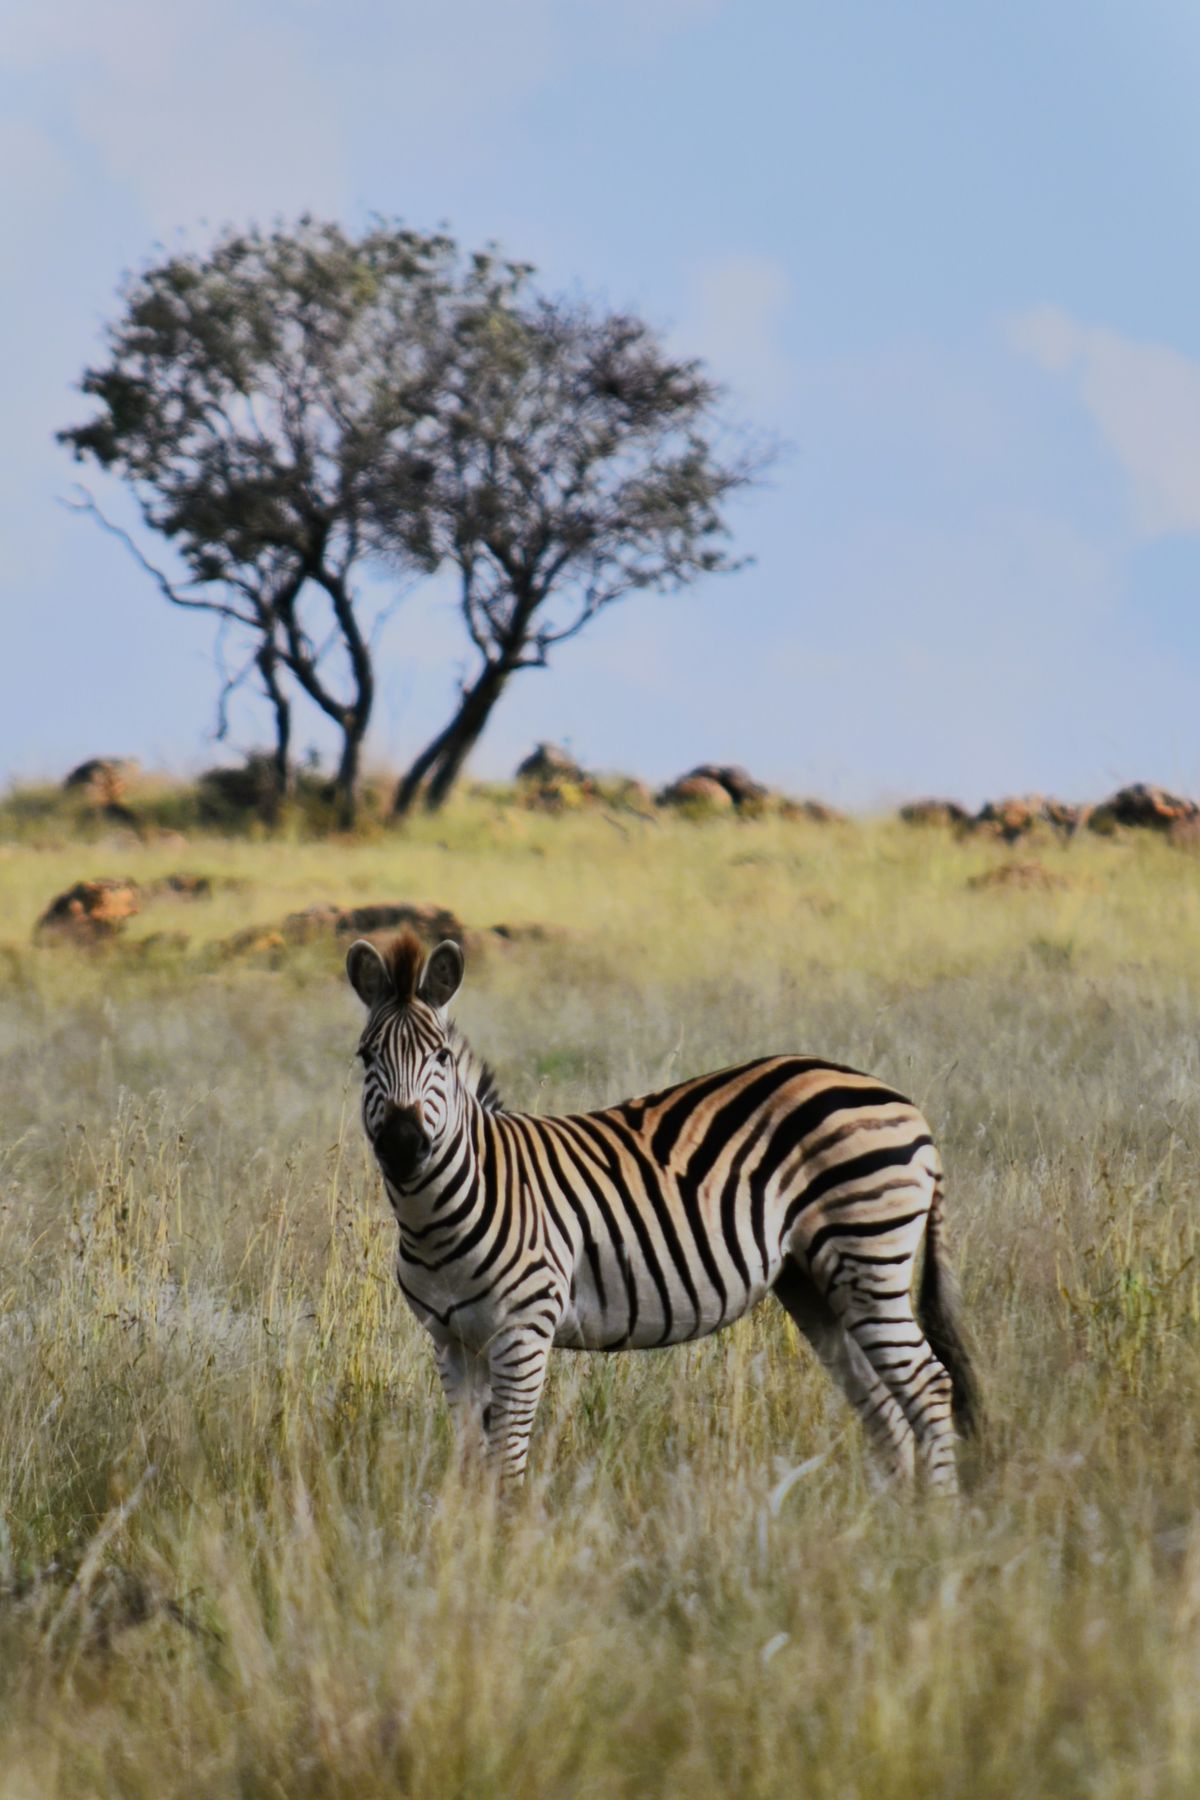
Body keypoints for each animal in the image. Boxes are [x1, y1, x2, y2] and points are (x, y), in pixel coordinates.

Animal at [347, 930, 978, 1492]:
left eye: (440, 1057)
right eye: (365, 1056)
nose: (402, 1144)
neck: (437, 1219)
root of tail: (903, 1102)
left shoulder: (523, 1332)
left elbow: (505, 1461)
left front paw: (501, 1539)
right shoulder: (451, 1342)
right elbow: (467, 1460)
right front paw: (466, 1534)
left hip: (869, 1255)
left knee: (929, 1385)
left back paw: (936, 1523)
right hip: (814, 1281)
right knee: (881, 1402)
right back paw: (889, 1521)